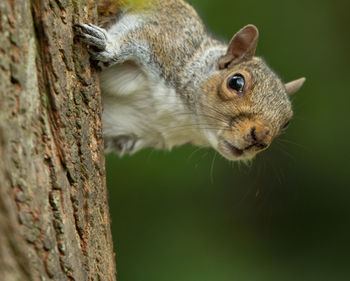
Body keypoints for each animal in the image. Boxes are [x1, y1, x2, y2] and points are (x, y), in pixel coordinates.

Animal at [75, 0, 304, 161]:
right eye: (236, 82)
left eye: (286, 122)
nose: (261, 138)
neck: (183, 116)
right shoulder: (167, 30)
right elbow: (134, 35)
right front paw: (109, 46)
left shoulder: (130, 131)